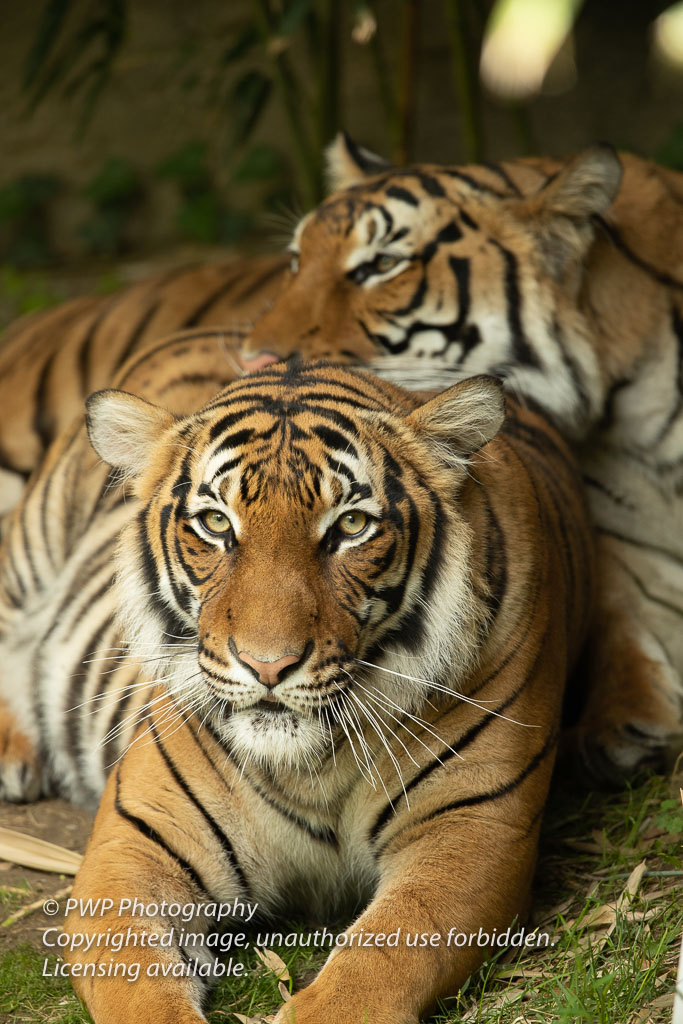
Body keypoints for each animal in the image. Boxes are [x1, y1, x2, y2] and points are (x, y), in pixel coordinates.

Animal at [0, 358, 593, 1024]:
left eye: (352, 526)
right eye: (215, 523)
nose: (268, 665)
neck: (311, 765)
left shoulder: (474, 826)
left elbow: (380, 959)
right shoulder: (134, 846)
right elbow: (142, 992)